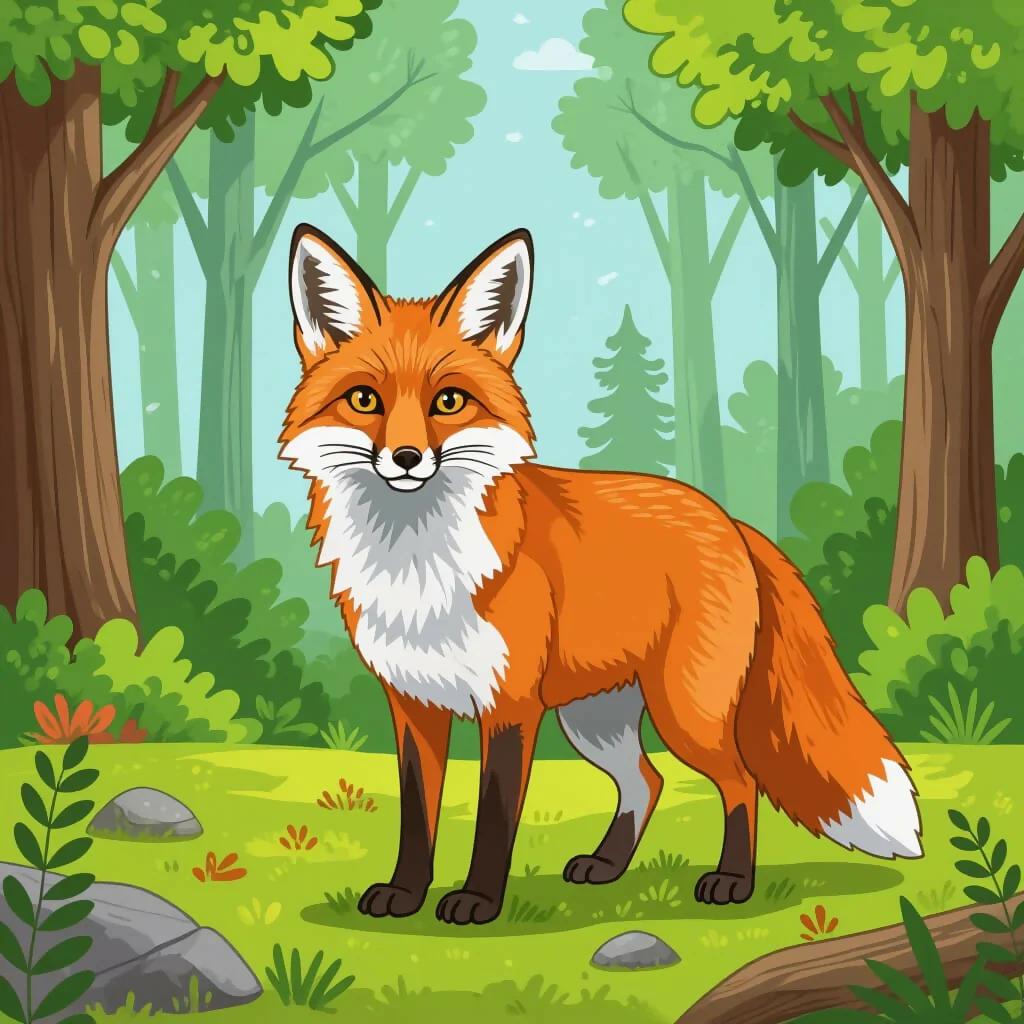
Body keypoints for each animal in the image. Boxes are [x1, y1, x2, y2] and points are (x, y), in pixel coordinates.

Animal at [279, 222, 923, 926]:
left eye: (448, 401)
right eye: (364, 399)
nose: (405, 457)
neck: (418, 563)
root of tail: (729, 520)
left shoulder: (510, 708)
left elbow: (494, 814)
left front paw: (478, 901)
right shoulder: (414, 705)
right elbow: (418, 813)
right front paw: (405, 894)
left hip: (683, 712)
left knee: (738, 779)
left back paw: (732, 881)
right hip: (594, 720)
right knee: (648, 780)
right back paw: (608, 866)